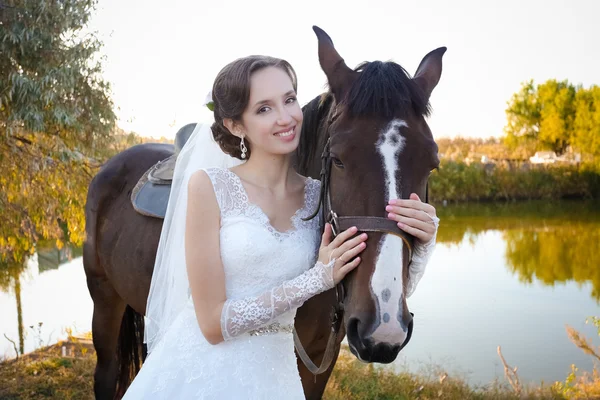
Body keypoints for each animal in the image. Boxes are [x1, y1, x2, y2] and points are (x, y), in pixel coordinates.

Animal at [82, 26, 442, 398]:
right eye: (339, 159)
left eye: (431, 164)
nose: (385, 326)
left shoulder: (317, 363)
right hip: (104, 299)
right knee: (106, 374)